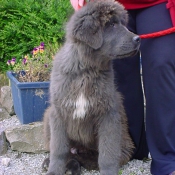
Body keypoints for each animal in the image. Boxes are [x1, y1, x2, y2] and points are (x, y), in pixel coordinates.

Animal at [43, 0, 140, 174]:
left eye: (121, 24)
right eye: (111, 24)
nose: (138, 39)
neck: (86, 71)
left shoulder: (108, 114)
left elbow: (107, 153)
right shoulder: (58, 113)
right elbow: (58, 150)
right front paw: (54, 170)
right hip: (47, 117)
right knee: (69, 153)